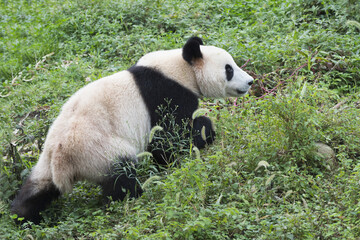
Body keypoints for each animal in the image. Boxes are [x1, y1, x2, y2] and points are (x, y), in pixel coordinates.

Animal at [11, 37, 253, 223]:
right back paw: (132, 196)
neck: (181, 68)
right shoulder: (166, 93)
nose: (250, 82)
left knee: (36, 189)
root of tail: (61, 160)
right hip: (98, 148)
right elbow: (170, 137)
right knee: (121, 174)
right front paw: (204, 132)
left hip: (46, 161)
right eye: (229, 69)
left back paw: (24, 217)